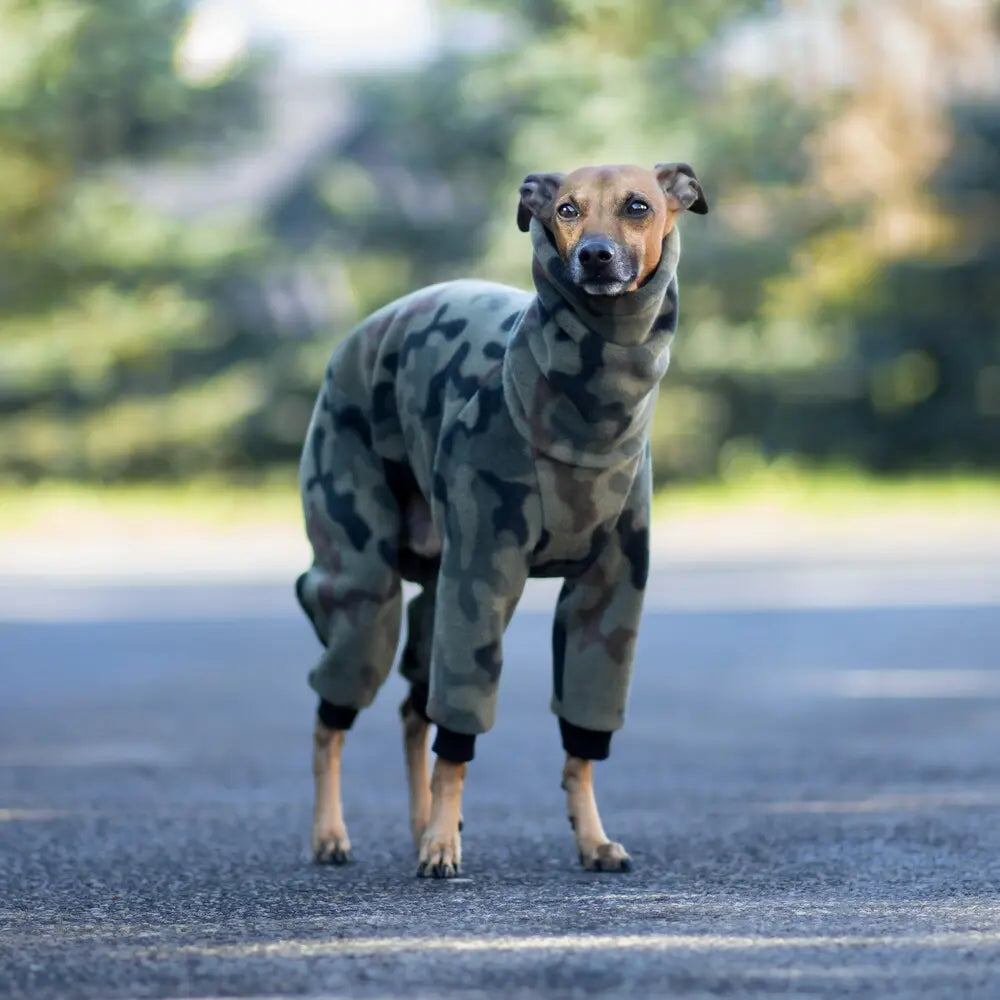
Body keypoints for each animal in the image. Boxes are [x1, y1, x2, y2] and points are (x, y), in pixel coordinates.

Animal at [292, 162, 708, 876]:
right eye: (566, 209)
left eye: (638, 206)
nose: (595, 257)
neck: (588, 414)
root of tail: (360, 333)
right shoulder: (482, 577)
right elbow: (458, 738)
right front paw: (442, 845)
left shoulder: (611, 590)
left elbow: (581, 739)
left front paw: (591, 838)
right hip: (368, 583)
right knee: (335, 711)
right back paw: (331, 833)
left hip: (437, 587)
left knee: (413, 709)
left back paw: (420, 823)